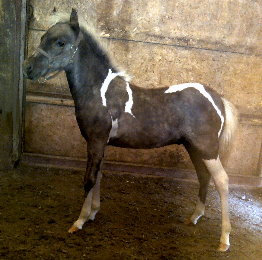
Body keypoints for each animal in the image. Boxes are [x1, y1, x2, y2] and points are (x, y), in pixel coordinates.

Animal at [23, 9, 238, 251]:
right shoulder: (100, 144)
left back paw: (224, 240)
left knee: (222, 181)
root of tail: (218, 100)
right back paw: (194, 217)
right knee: (204, 177)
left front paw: (79, 221)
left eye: (60, 42)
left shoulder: (95, 141)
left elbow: (89, 179)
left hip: (208, 149)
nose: (28, 68)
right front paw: (93, 213)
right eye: (42, 38)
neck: (101, 92)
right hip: (193, 148)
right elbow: (99, 175)